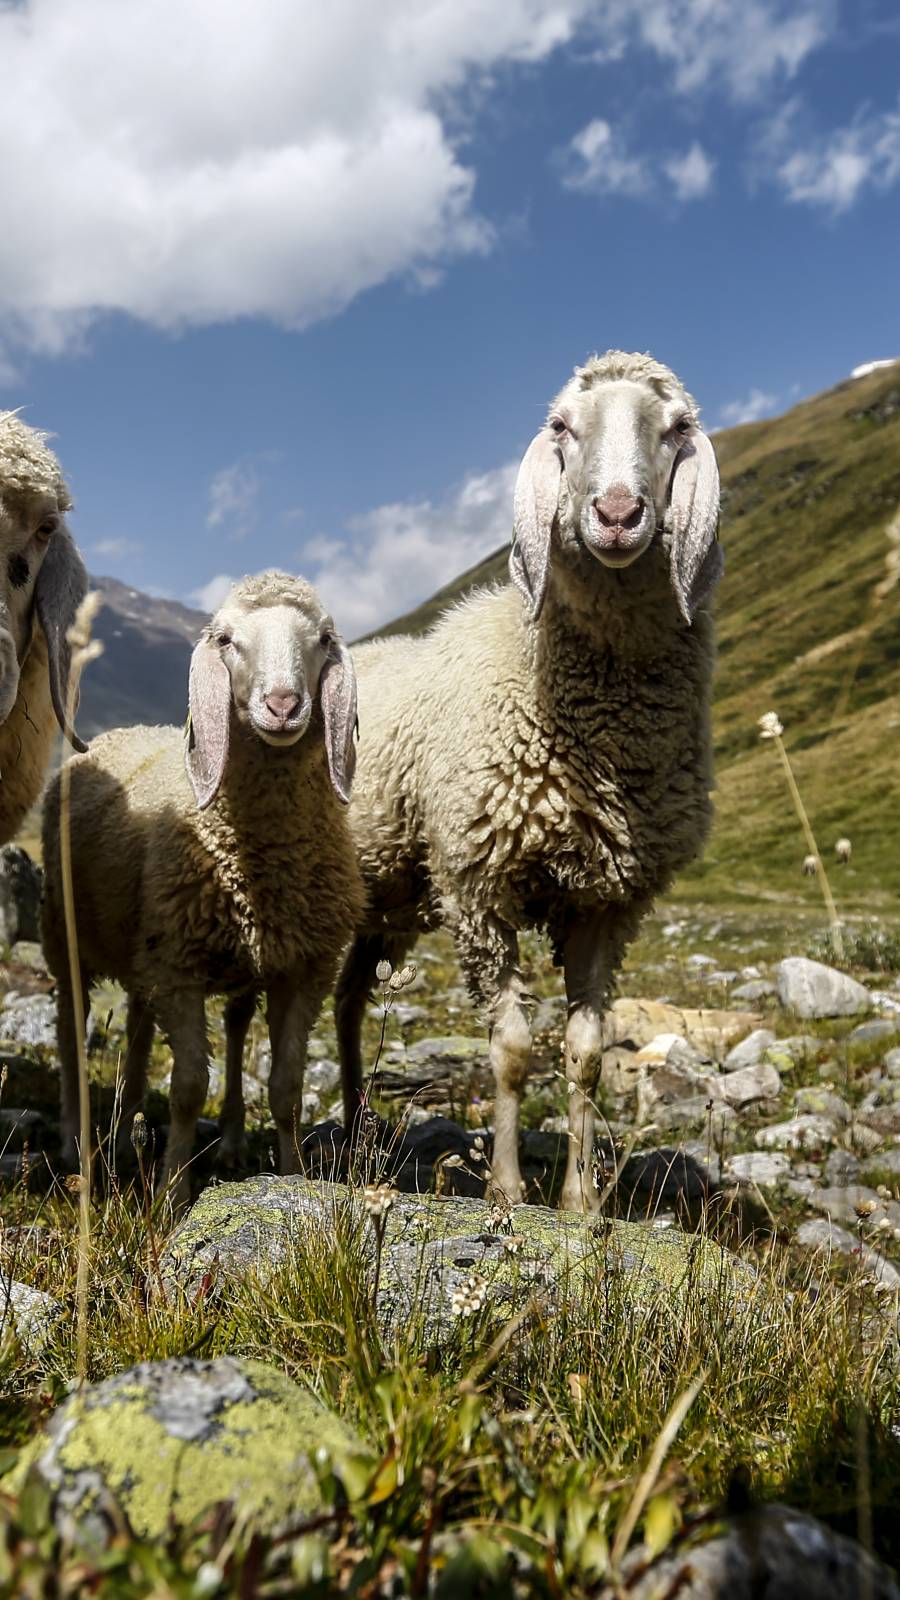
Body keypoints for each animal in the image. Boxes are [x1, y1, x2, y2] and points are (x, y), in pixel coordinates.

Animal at [41, 571, 364, 1207]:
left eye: (322, 638)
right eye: (226, 639)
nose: (283, 705)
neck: (265, 857)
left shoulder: (303, 969)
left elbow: (286, 1088)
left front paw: (292, 1178)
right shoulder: (180, 969)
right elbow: (189, 1087)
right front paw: (172, 1192)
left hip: (147, 953)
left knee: (140, 1033)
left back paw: (126, 1133)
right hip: (64, 936)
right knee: (70, 1032)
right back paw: (74, 1142)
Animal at [335, 350, 723, 1213]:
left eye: (677, 426)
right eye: (562, 426)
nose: (616, 512)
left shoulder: (608, 903)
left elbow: (585, 1051)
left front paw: (580, 1200)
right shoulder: (479, 888)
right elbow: (511, 1050)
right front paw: (509, 1190)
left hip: (392, 897)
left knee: (345, 1004)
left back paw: (354, 1129)